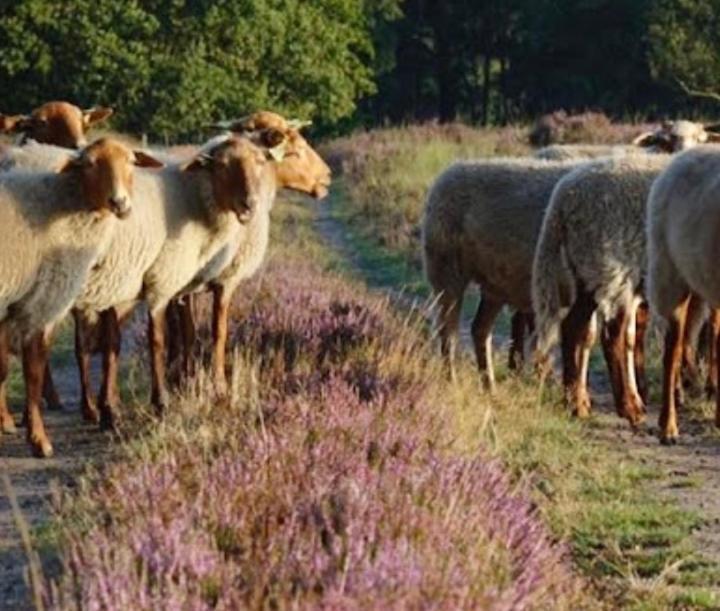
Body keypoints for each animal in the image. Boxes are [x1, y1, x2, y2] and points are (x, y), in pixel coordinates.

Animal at [0, 137, 162, 454]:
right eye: (89, 164)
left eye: (131, 161)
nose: (120, 203)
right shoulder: (43, 298)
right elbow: (33, 367)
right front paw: (39, 440)